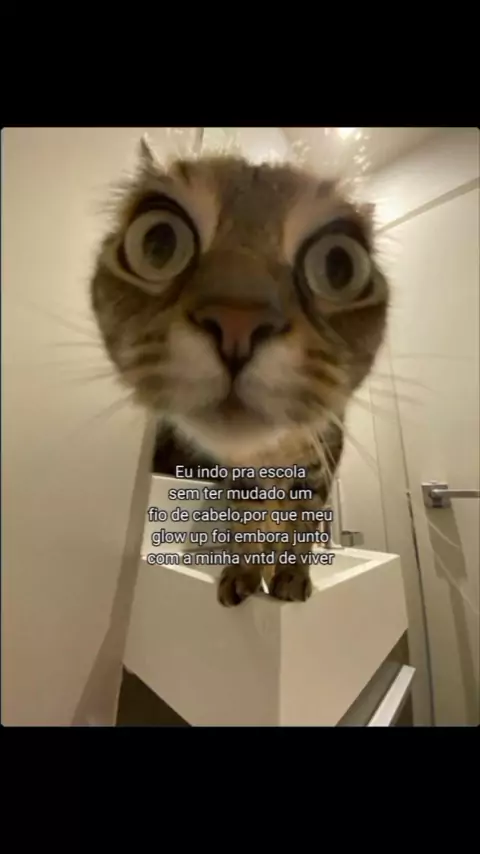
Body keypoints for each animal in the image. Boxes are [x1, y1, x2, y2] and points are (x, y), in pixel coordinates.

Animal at [90, 138, 389, 606]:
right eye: (159, 242)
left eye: (337, 265)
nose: (237, 323)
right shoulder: (242, 478)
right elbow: (248, 526)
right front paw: (244, 574)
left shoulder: (315, 467)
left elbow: (301, 528)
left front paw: (292, 576)